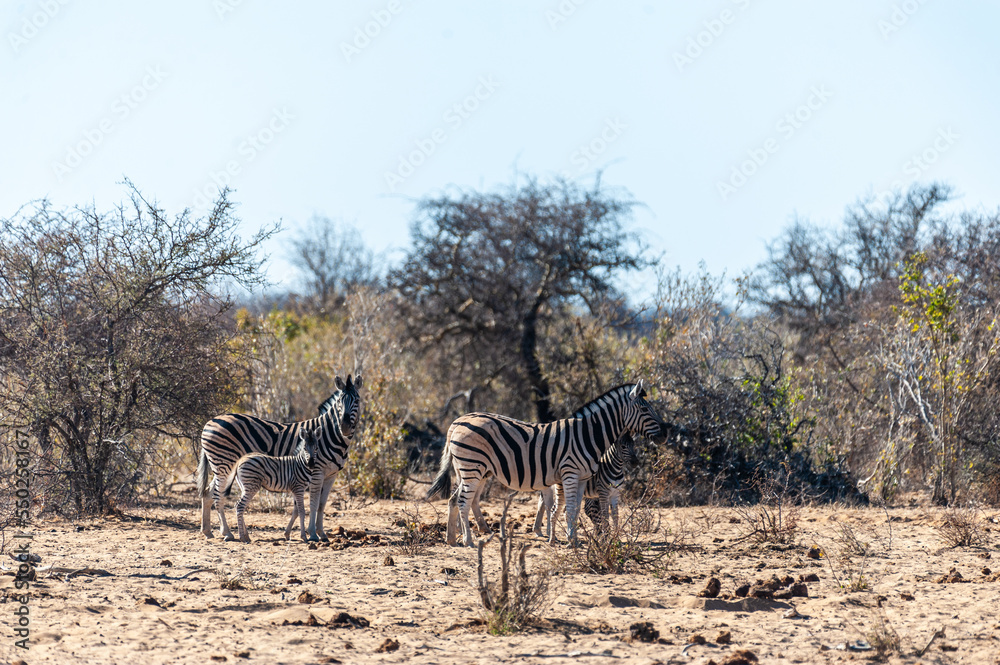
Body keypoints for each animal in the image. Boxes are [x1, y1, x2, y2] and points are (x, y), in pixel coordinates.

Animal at [197, 374, 363, 542]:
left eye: (357, 400)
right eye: (340, 402)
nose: (344, 427)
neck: (330, 436)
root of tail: (210, 421)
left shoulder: (331, 475)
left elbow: (322, 505)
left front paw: (321, 533)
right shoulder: (317, 472)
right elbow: (314, 503)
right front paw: (312, 533)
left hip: (223, 467)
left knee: (208, 493)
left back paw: (208, 531)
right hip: (224, 464)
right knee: (218, 496)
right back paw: (227, 533)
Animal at [427, 381, 665, 547]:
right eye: (645, 410)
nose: (666, 434)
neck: (588, 435)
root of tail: (456, 422)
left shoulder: (582, 478)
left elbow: (574, 509)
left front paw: (570, 538)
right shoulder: (570, 473)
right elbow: (570, 509)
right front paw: (571, 541)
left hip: (465, 469)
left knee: (453, 499)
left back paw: (451, 539)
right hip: (472, 467)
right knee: (463, 501)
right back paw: (468, 540)